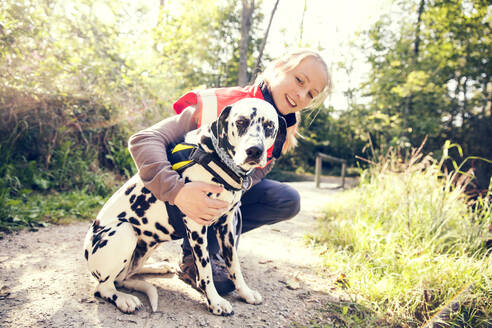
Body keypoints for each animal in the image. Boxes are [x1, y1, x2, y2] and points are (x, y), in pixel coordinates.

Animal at [83, 97, 286, 316]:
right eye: (241, 122)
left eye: (269, 126)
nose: (254, 151)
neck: (216, 159)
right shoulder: (197, 226)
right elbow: (205, 271)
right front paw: (215, 301)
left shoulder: (226, 227)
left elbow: (234, 265)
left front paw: (245, 293)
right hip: (124, 231)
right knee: (104, 287)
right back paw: (123, 298)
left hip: (147, 246)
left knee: (126, 276)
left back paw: (158, 267)